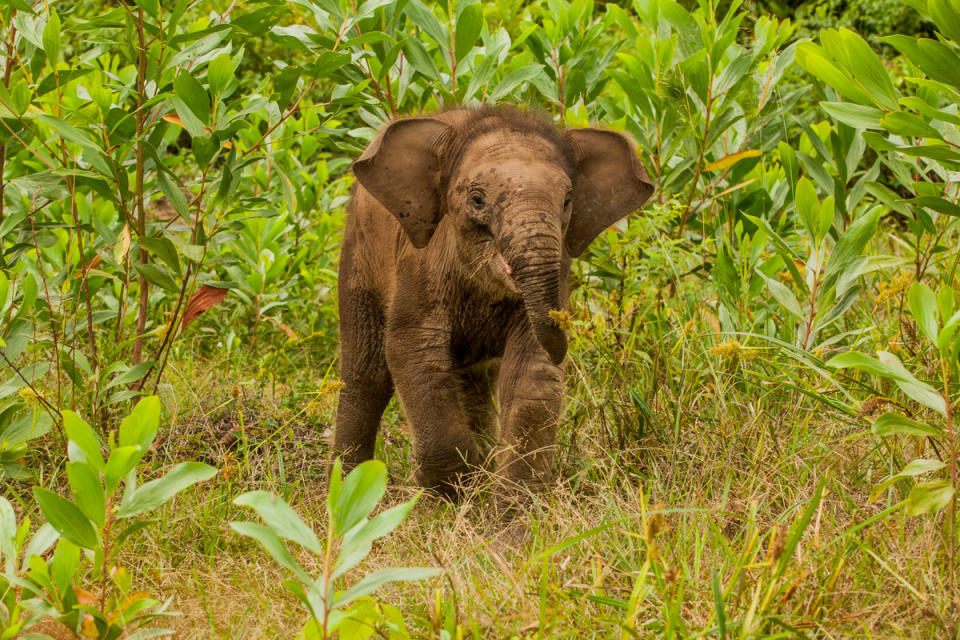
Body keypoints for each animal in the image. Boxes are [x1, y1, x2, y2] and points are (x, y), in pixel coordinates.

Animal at [330, 106, 652, 496]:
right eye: (477, 199)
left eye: (566, 202)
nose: (566, 329)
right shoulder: (419, 265)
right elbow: (414, 350)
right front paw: (450, 491)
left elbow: (532, 374)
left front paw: (511, 505)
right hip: (359, 251)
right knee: (367, 372)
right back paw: (348, 488)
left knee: (473, 380)